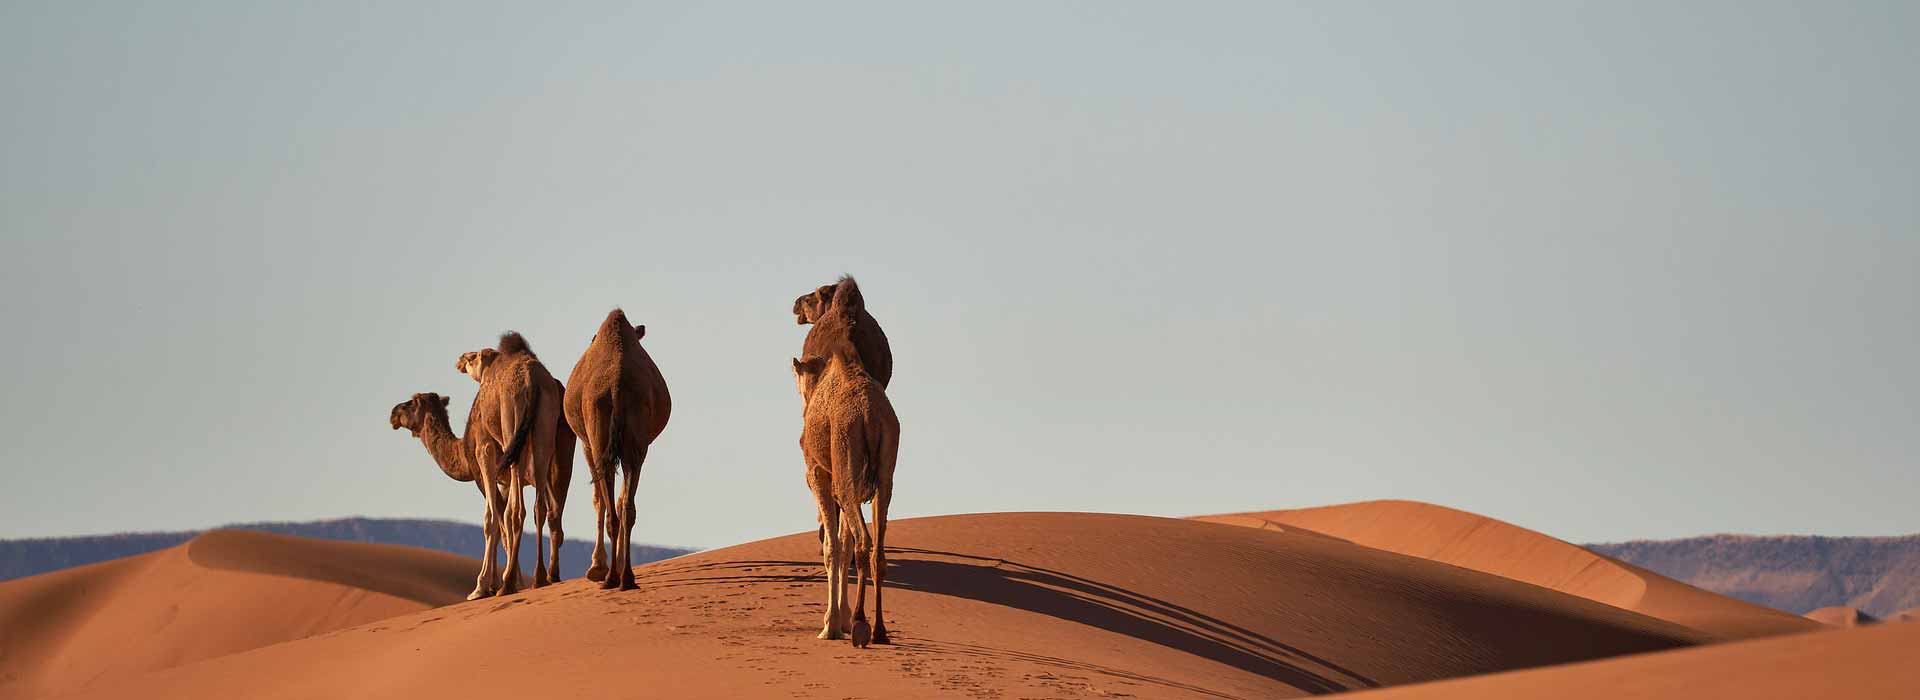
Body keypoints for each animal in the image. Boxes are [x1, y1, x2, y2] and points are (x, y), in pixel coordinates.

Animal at [385, 389, 506, 598]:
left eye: (411, 402)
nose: (393, 413)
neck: (462, 452)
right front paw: (500, 583)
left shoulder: (481, 471)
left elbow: (495, 520)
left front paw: (488, 586)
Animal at [456, 347, 591, 579]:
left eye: (472, 358)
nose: (460, 360)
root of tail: (532, 380)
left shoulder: (486, 448)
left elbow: (495, 515)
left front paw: (484, 583)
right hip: (546, 433)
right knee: (545, 506)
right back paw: (543, 575)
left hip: (513, 425)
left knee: (517, 510)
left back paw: (511, 579)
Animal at [560, 308, 672, 586]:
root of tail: (617, 386)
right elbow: (620, 499)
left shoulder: (586, 444)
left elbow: (597, 499)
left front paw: (596, 566)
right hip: (636, 441)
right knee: (626, 506)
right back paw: (626, 577)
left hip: (598, 431)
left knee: (610, 503)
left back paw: (609, 576)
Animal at [787, 276, 898, 644]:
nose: (795, 303)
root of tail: (869, 416)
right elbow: (843, 544)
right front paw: (842, 619)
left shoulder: (818, 473)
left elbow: (832, 547)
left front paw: (832, 624)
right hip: (884, 472)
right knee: (876, 548)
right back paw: (879, 630)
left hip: (847, 470)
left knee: (862, 542)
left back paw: (862, 626)